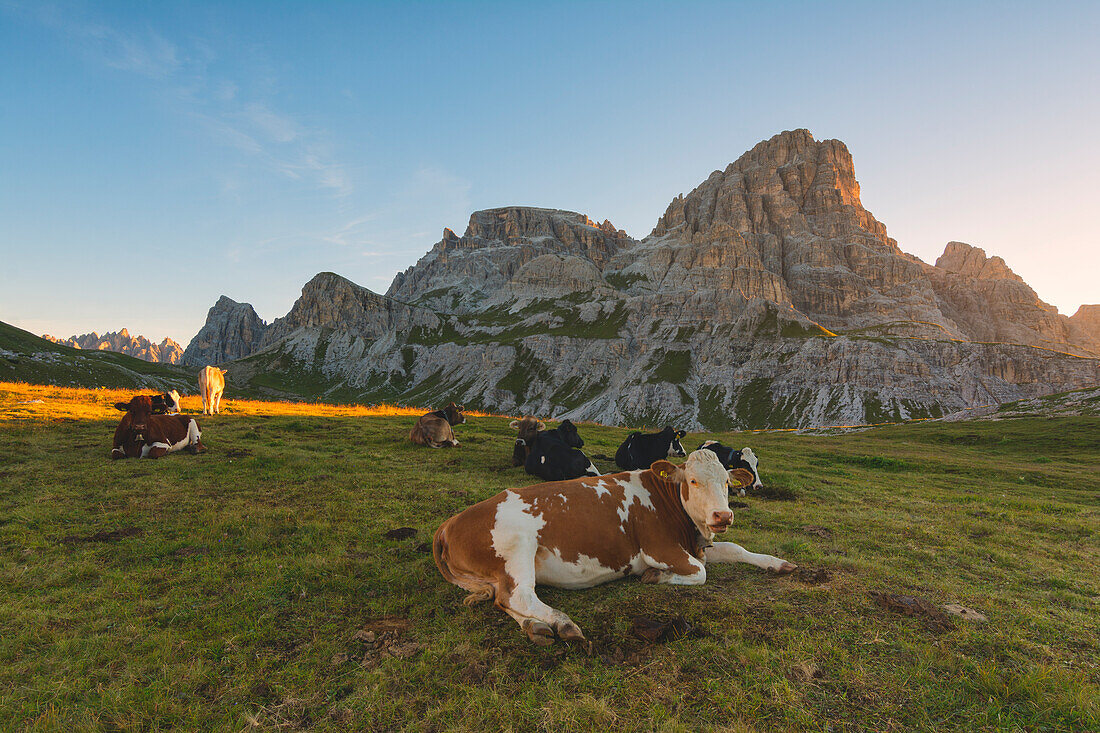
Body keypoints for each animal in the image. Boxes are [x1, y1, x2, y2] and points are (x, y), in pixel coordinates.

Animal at [433, 449, 796, 642]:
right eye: (693, 481)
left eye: (727, 483)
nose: (723, 515)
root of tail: (450, 523)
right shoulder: (658, 548)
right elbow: (700, 571)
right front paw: (655, 576)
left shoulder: (696, 543)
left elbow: (736, 549)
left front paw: (777, 563)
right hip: (517, 547)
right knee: (519, 595)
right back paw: (563, 623)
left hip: (499, 572)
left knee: (503, 599)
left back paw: (537, 627)